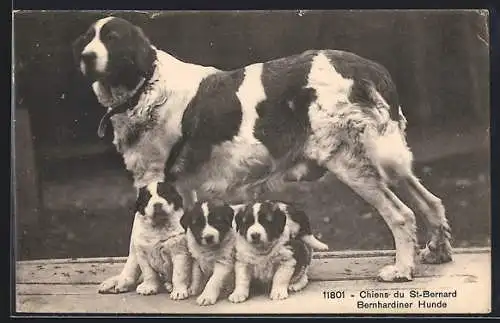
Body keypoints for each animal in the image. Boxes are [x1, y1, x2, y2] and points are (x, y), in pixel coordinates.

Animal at [74, 15, 454, 292]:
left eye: (113, 38)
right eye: (90, 38)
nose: (86, 57)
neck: (144, 87)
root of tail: (369, 68)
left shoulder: (154, 180)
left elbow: (134, 240)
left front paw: (127, 280)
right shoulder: (179, 189)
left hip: (352, 163)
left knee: (401, 214)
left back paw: (401, 268)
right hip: (387, 162)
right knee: (430, 202)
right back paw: (437, 251)